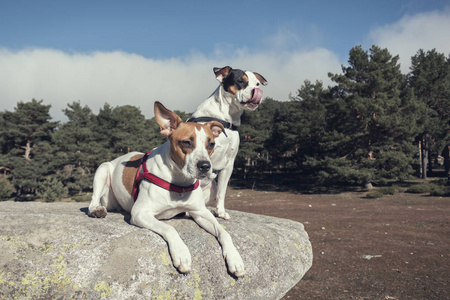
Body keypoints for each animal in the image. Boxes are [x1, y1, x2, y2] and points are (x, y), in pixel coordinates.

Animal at [88, 101, 246, 276]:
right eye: (186, 142)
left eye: (211, 144)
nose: (205, 166)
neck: (179, 181)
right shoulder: (140, 213)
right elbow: (170, 228)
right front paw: (182, 253)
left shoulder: (200, 213)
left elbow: (224, 232)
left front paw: (235, 258)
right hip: (102, 170)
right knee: (93, 200)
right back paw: (97, 210)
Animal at [187, 67, 268, 219]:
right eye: (240, 81)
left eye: (257, 84)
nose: (256, 90)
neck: (226, 118)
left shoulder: (229, 164)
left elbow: (222, 192)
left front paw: (220, 212)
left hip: (212, 187)